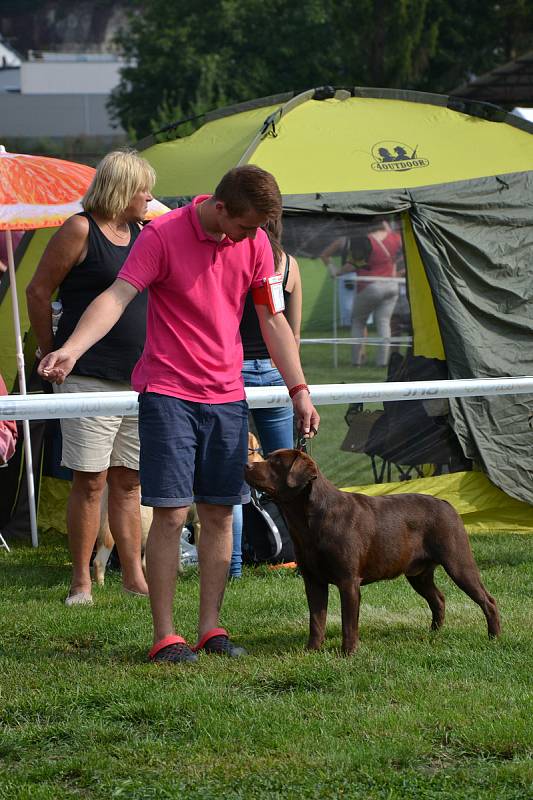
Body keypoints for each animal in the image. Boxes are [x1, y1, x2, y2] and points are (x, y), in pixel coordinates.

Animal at [245, 446, 498, 652]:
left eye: (277, 463)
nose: (247, 465)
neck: (308, 522)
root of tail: (448, 505)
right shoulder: (313, 580)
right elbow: (316, 620)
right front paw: (312, 651)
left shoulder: (348, 581)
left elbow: (348, 622)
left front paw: (348, 653)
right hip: (418, 574)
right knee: (438, 599)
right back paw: (434, 633)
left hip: (458, 562)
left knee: (488, 600)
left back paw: (494, 637)